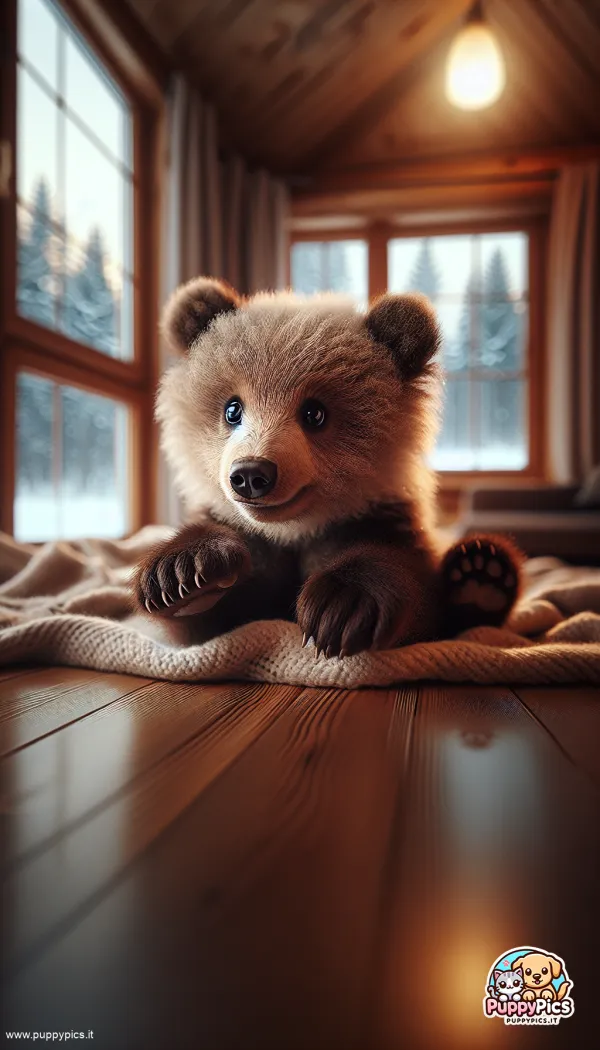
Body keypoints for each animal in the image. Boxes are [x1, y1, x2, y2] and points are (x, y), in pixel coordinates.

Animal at [132, 277, 522, 656]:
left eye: (314, 413)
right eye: (232, 409)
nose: (252, 474)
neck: (294, 529)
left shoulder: (374, 518)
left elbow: (409, 582)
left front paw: (341, 604)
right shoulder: (251, 540)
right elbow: (209, 622)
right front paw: (183, 574)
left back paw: (481, 575)